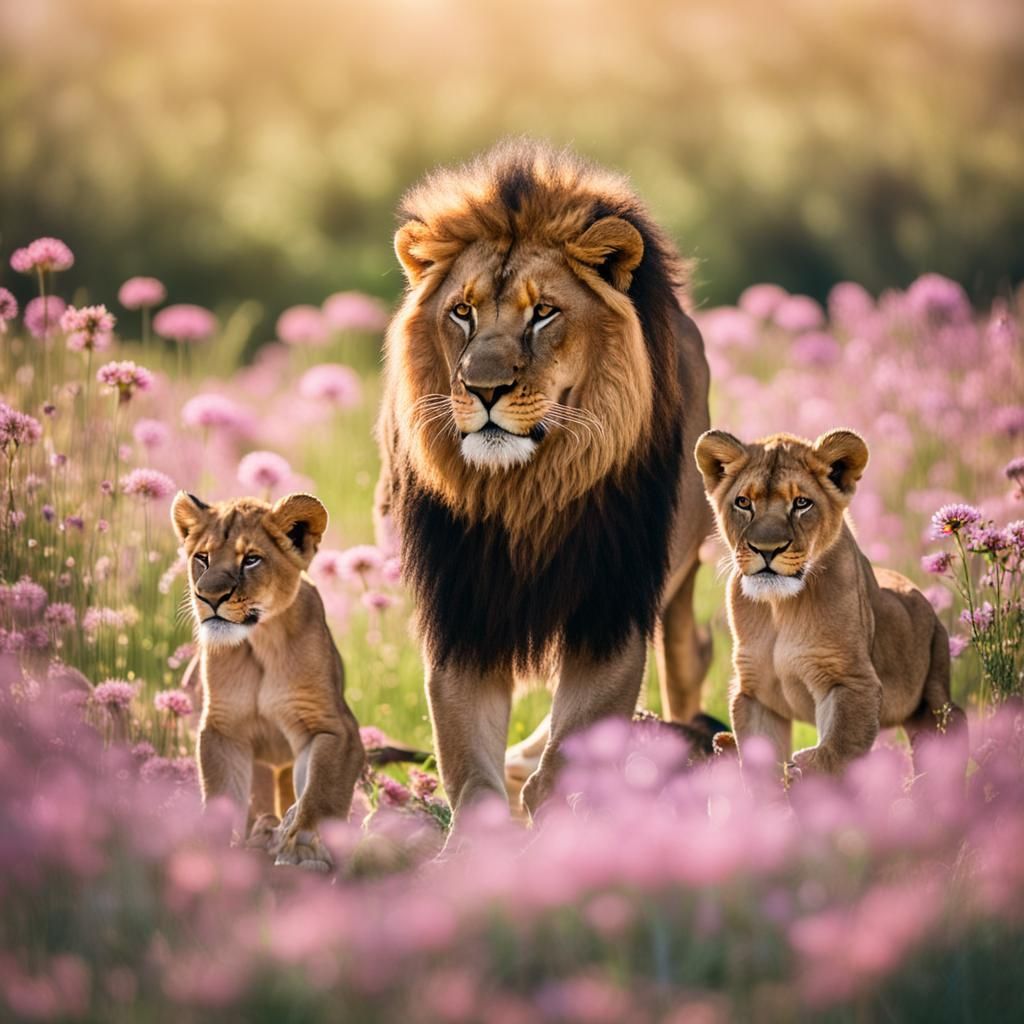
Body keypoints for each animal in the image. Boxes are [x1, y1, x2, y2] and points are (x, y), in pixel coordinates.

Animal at [171, 491, 365, 871]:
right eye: (202, 557)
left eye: (251, 560)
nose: (208, 597)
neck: (258, 643)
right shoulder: (223, 729)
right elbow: (220, 794)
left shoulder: (333, 728)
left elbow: (321, 790)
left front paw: (304, 846)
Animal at [375, 139, 716, 826]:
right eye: (462, 312)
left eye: (544, 314)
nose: (483, 389)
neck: (526, 494)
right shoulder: (463, 612)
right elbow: (471, 768)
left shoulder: (612, 611)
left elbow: (573, 750)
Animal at [694, 428, 967, 777]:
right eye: (743, 502)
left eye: (801, 503)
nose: (767, 549)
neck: (780, 608)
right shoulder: (755, 692)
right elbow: (759, 763)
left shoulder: (850, 682)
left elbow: (836, 753)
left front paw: (802, 772)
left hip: (934, 690)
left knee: (950, 725)